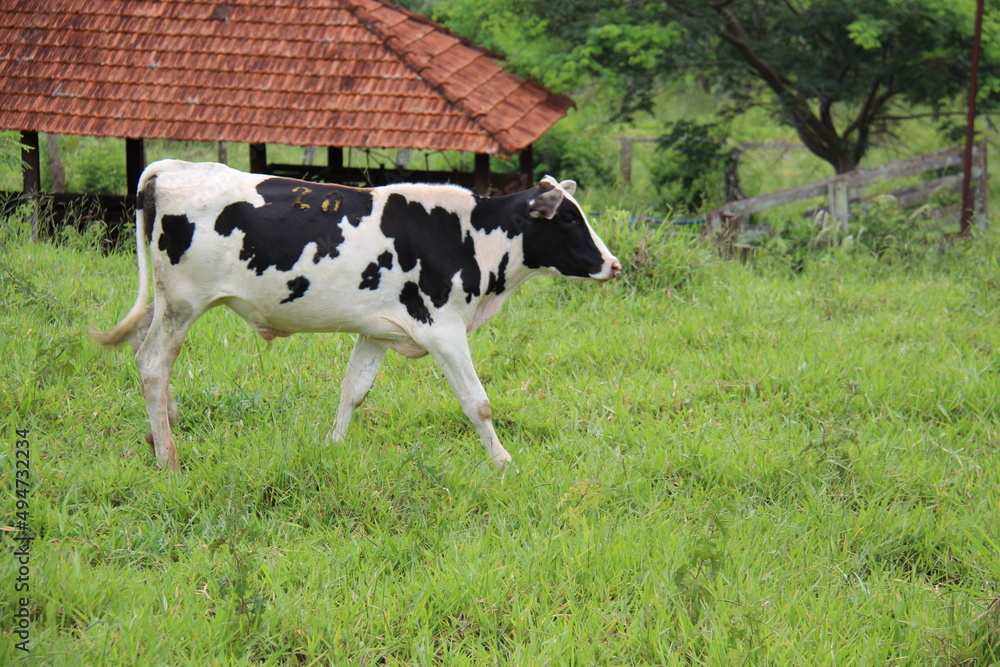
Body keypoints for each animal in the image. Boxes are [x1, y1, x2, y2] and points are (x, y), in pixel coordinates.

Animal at [95, 159, 624, 472]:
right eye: (569, 218)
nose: (613, 264)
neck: (470, 233)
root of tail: (173, 166)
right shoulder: (444, 329)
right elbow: (478, 402)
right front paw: (503, 462)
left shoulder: (377, 331)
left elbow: (353, 391)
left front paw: (332, 445)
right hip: (183, 304)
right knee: (153, 365)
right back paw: (168, 458)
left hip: (164, 305)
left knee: (144, 352)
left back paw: (157, 433)